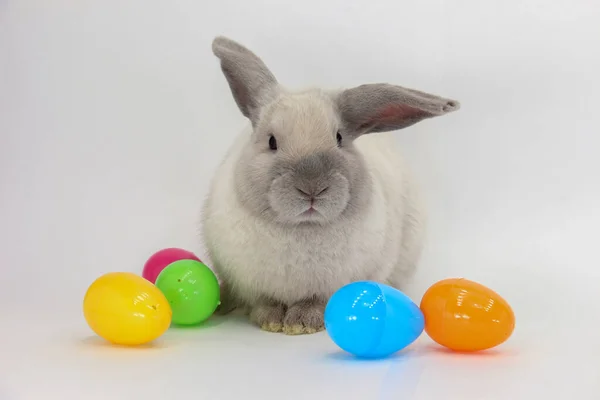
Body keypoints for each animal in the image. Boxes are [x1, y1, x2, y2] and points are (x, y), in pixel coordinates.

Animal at [202, 36, 460, 334]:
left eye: (339, 138)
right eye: (271, 141)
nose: (312, 189)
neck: (304, 228)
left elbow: (316, 302)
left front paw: (301, 323)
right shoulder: (253, 285)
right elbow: (266, 302)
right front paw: (271, 320)